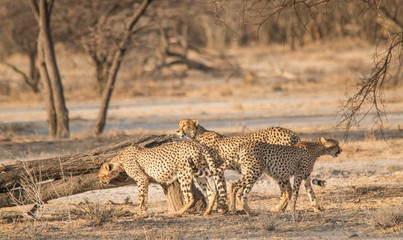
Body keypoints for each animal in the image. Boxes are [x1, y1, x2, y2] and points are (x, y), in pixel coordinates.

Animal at [98, 142, 227, 217]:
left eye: (101, 176)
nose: (102, 182)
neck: (120, 160)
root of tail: (198, 144)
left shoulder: (142, 179)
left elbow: (141, 197)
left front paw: (140, 213)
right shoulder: (145, 179)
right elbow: (145, 197)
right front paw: (144, 211)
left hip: (183, 173)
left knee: (190, 197)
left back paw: (178, 213)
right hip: (198, 173)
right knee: (211, 192)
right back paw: (207, 212)